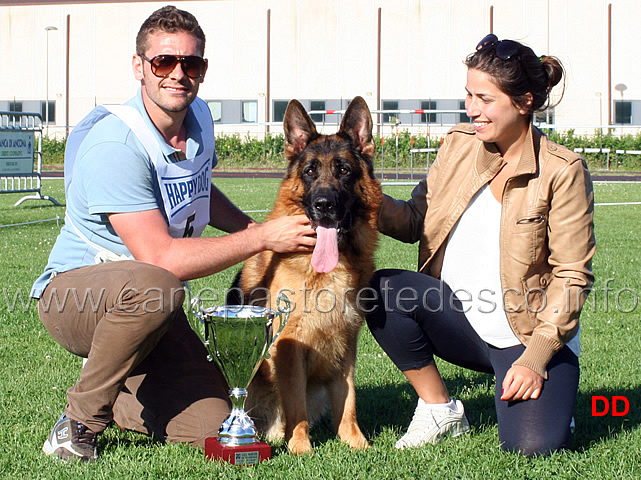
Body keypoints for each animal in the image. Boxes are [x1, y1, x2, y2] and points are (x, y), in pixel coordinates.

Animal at [239, 96, 380, 454]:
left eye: (344, 170)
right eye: (310, 171)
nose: (324, 204)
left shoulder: (346, 343)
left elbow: (349, 401)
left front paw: (356, 443)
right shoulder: (289, 346)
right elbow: (295, 405)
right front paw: (301, 447)